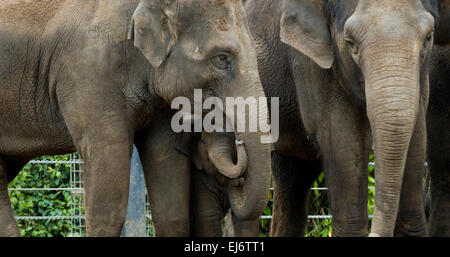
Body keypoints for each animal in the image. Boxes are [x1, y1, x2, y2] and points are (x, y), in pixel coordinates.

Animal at [246, 0, 450, 236]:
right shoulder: (312, 63)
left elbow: (416, 139)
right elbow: (343, 142)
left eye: (428, 38)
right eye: (351, 43)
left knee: (294, 175)